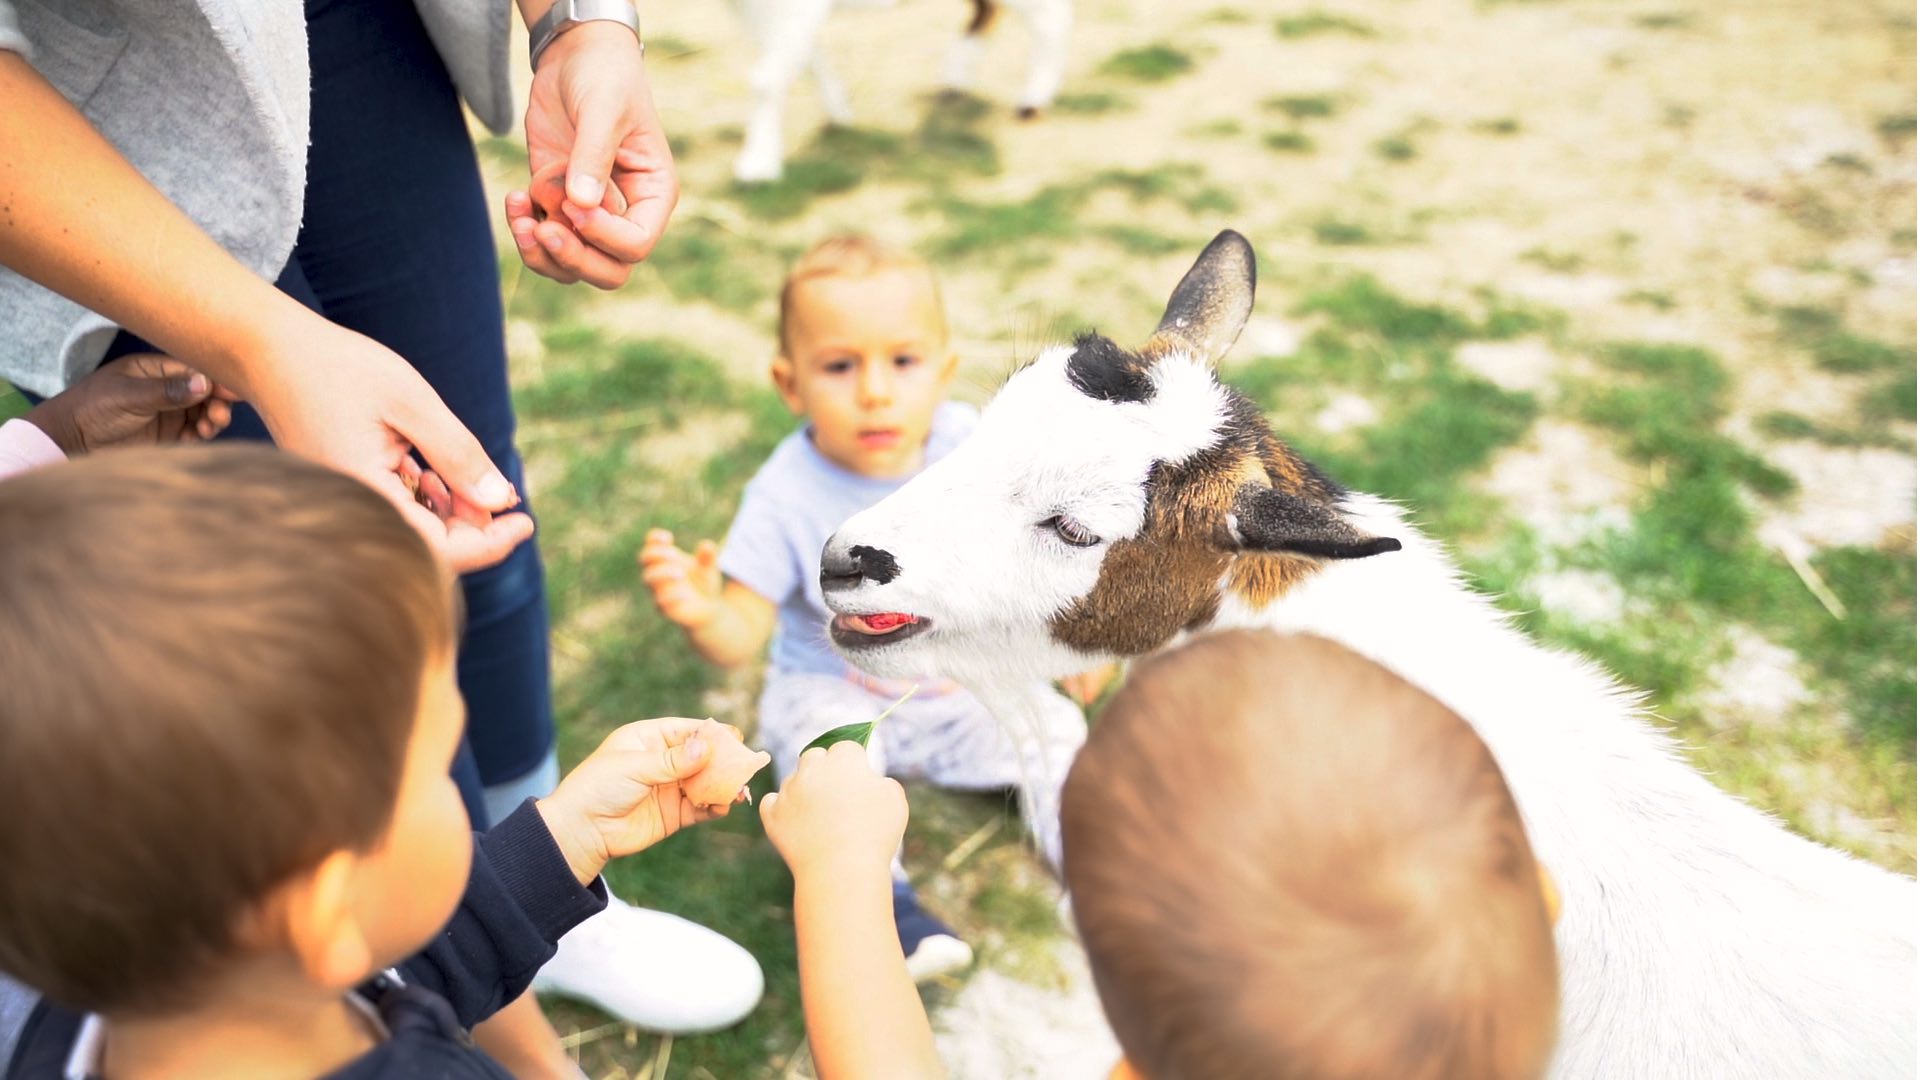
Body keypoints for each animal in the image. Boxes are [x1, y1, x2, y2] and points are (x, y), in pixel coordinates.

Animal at [725, 0, 1075, 180]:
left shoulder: (793, 9)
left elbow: (764, 78)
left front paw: (757, 165)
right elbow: (806, 57)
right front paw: (839, 112)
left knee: (1051, 16)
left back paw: (1034, 99)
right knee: (986, 12)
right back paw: (955, 79)